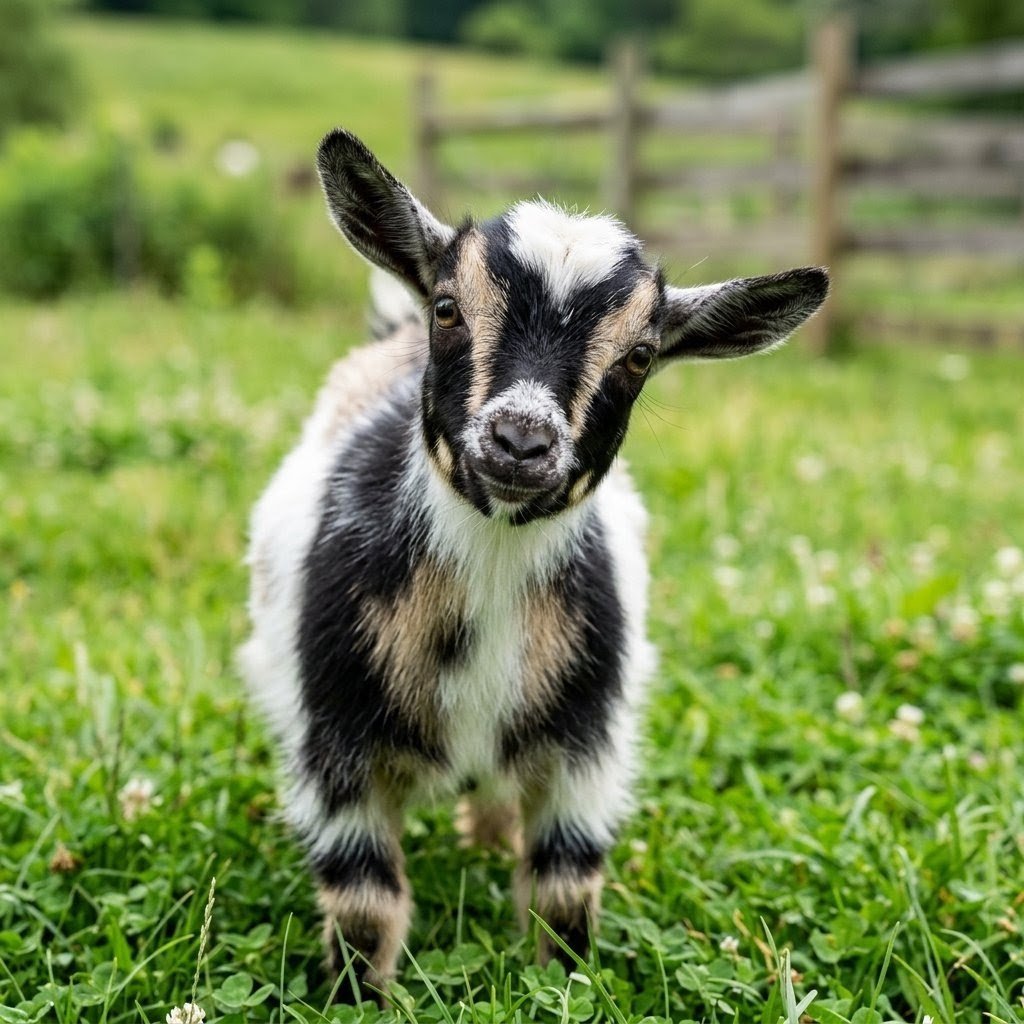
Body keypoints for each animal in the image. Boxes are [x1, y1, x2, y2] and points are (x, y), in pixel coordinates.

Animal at [240, 128, 828, 1001]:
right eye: (449, 307)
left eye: (641, 356)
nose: (521, 439)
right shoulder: (334, 741)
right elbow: (365, 906)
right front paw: (356, 1001)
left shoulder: (588, 745)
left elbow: (563, 892)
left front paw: (564, 989)